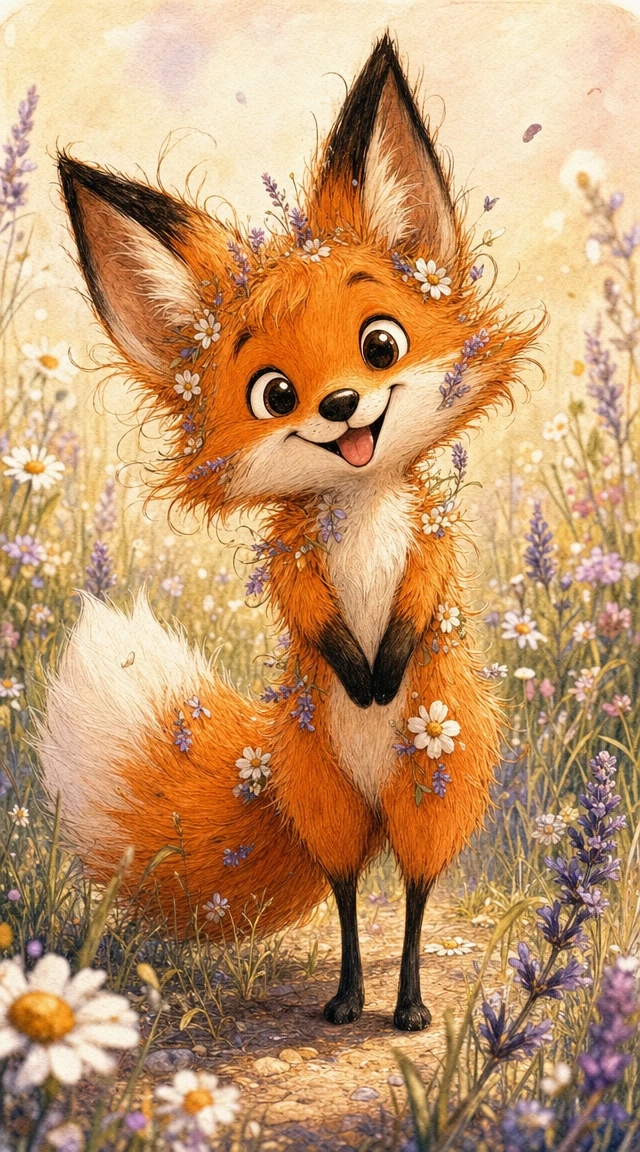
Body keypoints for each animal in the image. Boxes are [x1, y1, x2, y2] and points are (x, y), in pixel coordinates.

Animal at [40, 35, 540, 1031]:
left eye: (381, 344)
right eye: (273, 392)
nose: (343, 406)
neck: (361, 510)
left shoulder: (428, 544)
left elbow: (418, 593)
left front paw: (385, 667)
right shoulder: (298, 565)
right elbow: (316, 614)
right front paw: (359, 670)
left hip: (434, 787)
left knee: (414, 892)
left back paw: (408, 1007)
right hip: (328, 802)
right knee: (348, 891)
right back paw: (348, 1000)